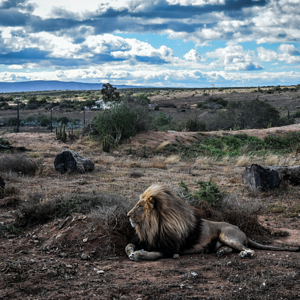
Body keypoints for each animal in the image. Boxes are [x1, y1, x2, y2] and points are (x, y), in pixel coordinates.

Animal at [125, 183, 300, 260]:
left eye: (139, 206)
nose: (127, 215)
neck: (152, 227)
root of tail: (242, 231)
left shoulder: (172, 248)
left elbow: (154, 254)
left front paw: (138, 254)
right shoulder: (146, 240)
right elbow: (129, 245)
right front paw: (131, 251)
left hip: (226, 234)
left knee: (248, 249)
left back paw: (244, 253)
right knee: (232, 248)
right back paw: (222, 251)